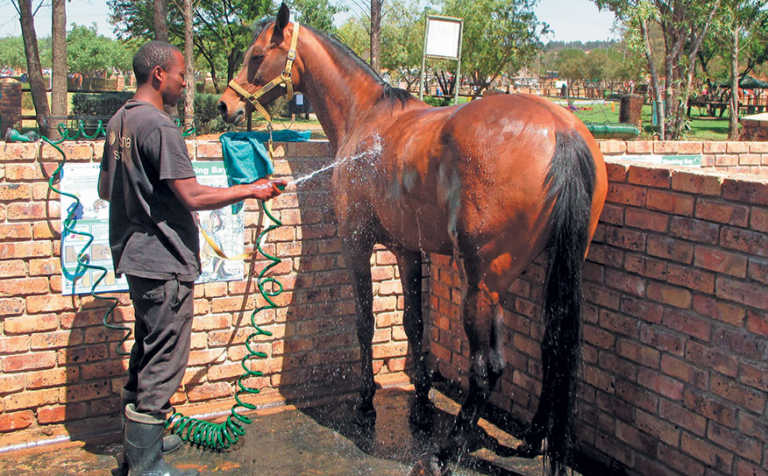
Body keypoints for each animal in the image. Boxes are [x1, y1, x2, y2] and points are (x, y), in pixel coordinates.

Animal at [219, 3, 608, 472]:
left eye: (257, 56)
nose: (224, 105)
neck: (366, 116)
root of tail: (561, 131)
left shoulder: (356, 244)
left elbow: (365, 322)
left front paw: (366, 403)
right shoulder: (408, 250)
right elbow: (413, 323)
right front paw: (421, 406)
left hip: (481, 284)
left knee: (488, 368)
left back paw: (448, 451)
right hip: (557, 269)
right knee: (553, 349)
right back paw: (533, 441)